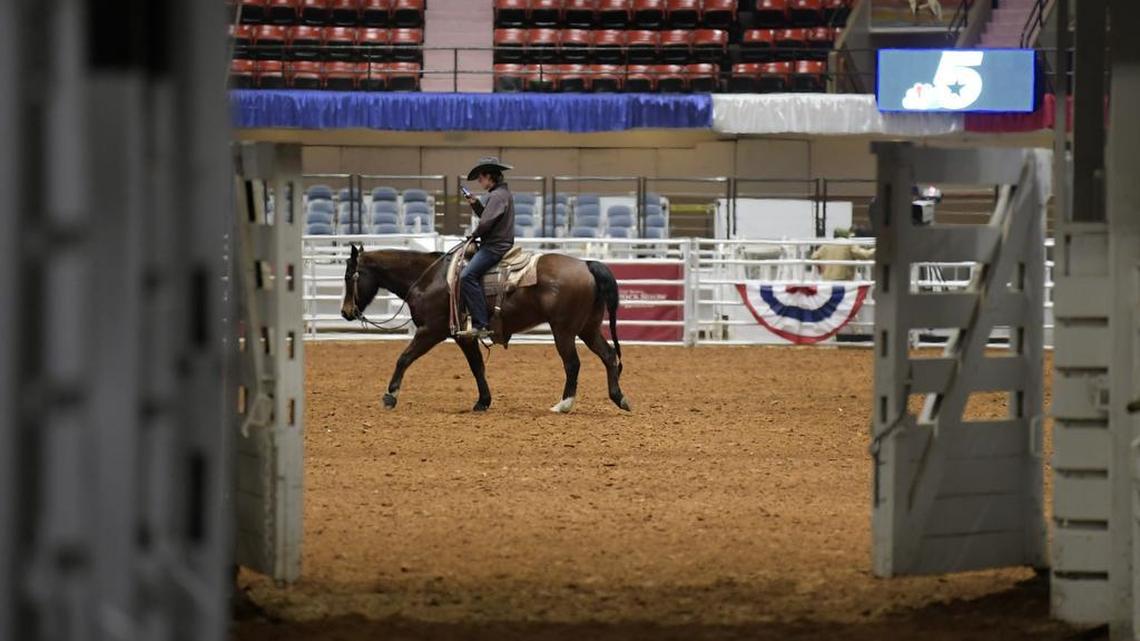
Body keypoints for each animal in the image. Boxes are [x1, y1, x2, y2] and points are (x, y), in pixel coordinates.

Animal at [340, 244, 632, 414]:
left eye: (348, 276)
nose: (346, 312)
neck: (429, 278)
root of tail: (587, 265)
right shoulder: (463, 337)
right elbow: (477, 367)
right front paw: (483, 401)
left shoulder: (431, 330)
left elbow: (404, 358)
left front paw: (390, 396)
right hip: (588, 328)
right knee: (608, 356)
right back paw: (619, 398)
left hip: (564, 330)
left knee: (572, 363)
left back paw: (564, 404)